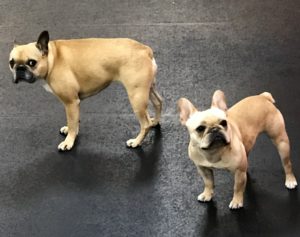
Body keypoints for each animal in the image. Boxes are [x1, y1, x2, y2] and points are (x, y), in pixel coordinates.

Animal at [8, 31, 162, 150]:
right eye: (11, 62)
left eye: (31, 62)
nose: (19, 69)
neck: (52, 59)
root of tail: (145, 50)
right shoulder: (74, 104)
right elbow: (74, 121)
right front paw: (71, 132)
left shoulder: (70, 102)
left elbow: (72, 121)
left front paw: (68, 142)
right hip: (149, 89)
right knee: (159, 102)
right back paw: (155, 121)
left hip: (136, 97)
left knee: (145, 124)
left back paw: (136, 142)